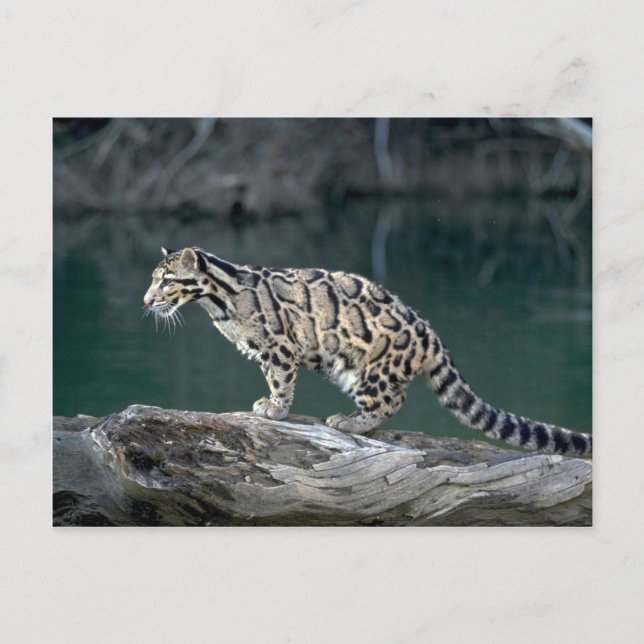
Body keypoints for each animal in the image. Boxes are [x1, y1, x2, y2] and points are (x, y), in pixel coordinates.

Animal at [143, 246, 592, 457]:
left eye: (166, 280)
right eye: (154, 279)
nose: (146, 301)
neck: (218, 301)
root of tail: (429, 332)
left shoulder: (280, 345)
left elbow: (281, 380)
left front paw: (275, 408)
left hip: (367, 369)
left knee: (393, 399)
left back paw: (351, 421)